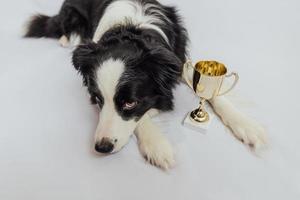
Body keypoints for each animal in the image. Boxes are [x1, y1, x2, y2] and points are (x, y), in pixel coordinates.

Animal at [24, 0, 266, 169]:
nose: (102, 147)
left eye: (129, 102)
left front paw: (247, 126)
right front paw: (158, 145)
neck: (134, 29)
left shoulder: (178, 60)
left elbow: (215, 93)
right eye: (98, 99)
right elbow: (141, 120)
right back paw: (68, 38)